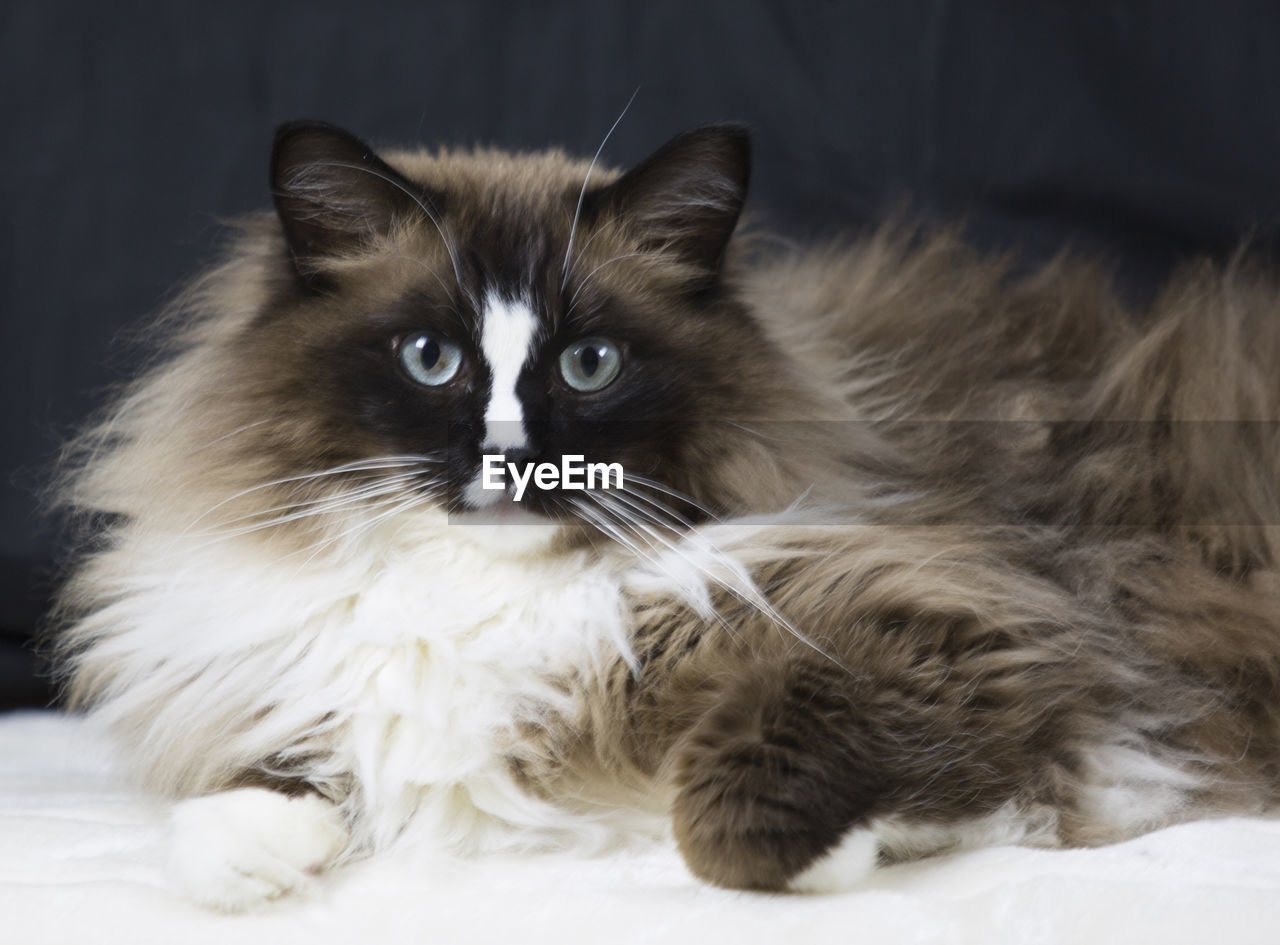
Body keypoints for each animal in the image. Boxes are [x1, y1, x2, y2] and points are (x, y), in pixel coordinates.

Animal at [55, 117, 1280, 906]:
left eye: (588, 365)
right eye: (431, 358)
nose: (513, 457)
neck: (482, 596)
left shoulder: (964, 615)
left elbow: (732, 809)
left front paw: (850, 852)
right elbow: (238, 805)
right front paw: (261, 859)